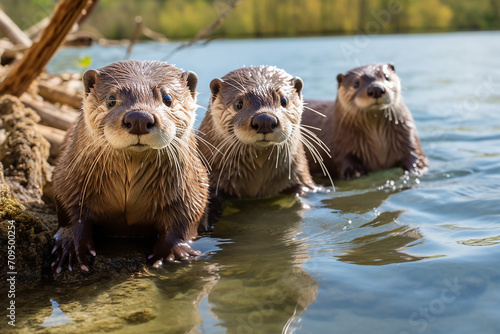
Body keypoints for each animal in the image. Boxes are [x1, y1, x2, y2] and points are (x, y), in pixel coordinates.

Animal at [53, 60, 210, 272]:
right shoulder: (68, 177)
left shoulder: (192, 186)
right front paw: (69, 245)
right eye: (111, 99)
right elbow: (69, 208)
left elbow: (185, 217)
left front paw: (172, 252)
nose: (139, 118)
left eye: (167, 98)